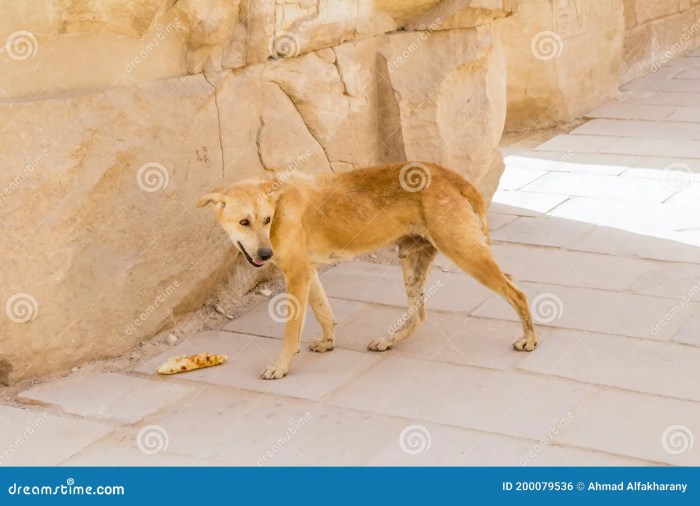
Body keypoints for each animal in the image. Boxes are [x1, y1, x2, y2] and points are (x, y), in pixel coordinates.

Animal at [200, 162, 540, 380]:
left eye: (266, 220)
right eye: (244, 222)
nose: (266, 253)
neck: (280, 205)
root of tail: (452, 175)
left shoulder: (296, 275)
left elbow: (290, 332)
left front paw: (281, 367)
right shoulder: (308, 272)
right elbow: (324, 312)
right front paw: (328, 341)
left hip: (464, 253)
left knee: (517, 292)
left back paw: (529, 339)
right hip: (411, 259)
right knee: (418, 314)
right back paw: (388, 340)